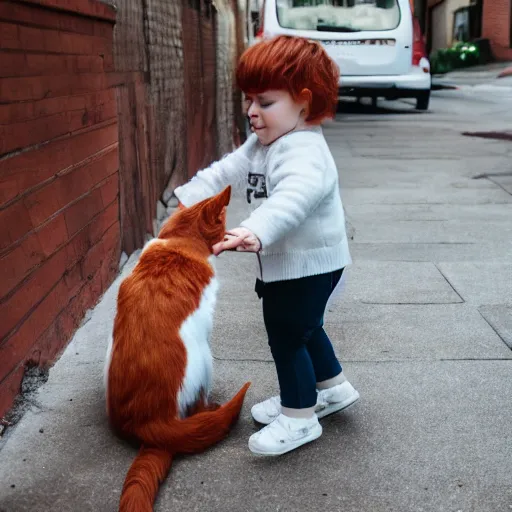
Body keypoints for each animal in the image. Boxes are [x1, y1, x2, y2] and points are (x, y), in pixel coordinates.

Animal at [104, 187, 250, 512]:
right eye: (223, 222)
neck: (180, 241)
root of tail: (150, 423)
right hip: (204, 358)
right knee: (199, 404)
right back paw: (209, 408)